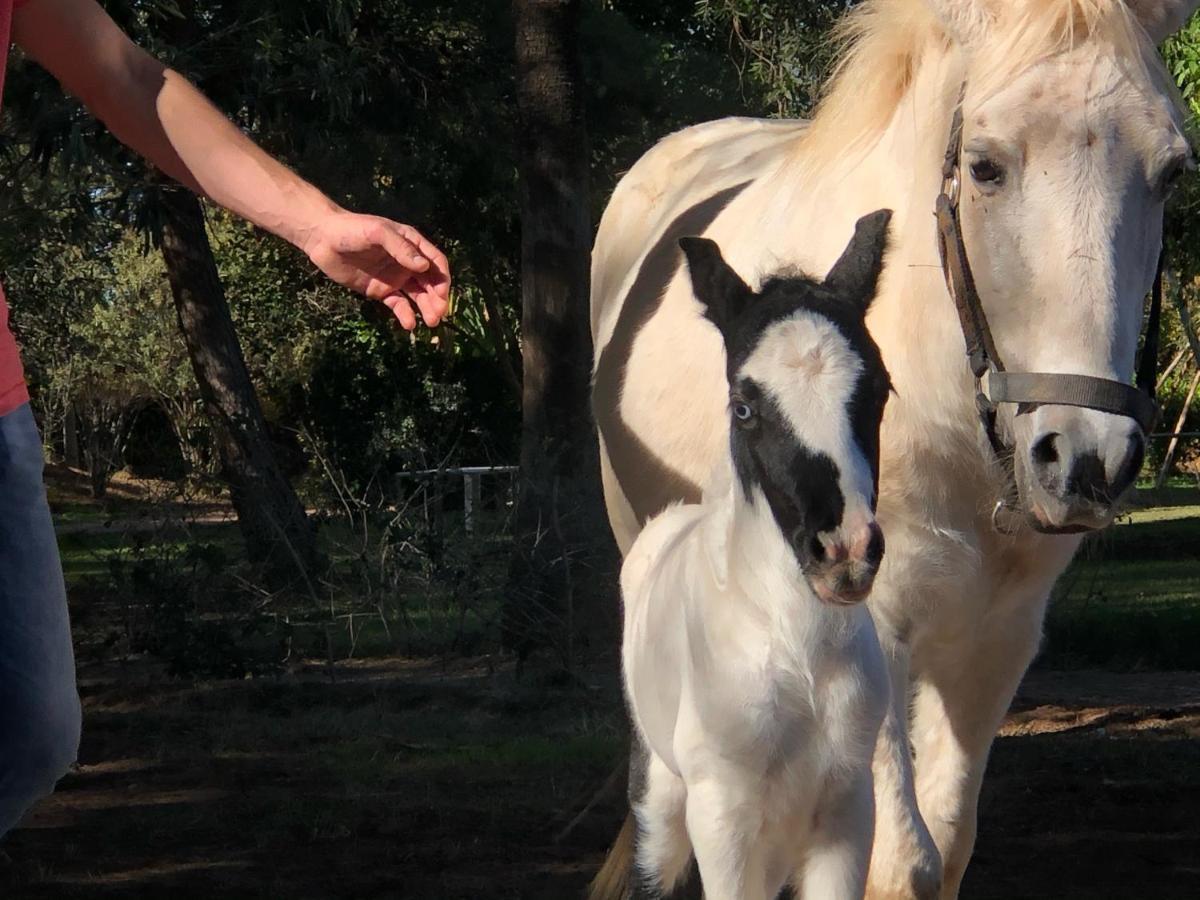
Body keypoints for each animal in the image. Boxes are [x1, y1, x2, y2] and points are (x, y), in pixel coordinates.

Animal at [624, 213, 897, 900]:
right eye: (744, 406)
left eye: (880, 390)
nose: (844, 551)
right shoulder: (723, 823)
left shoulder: (847, 812)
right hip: (662, 809)